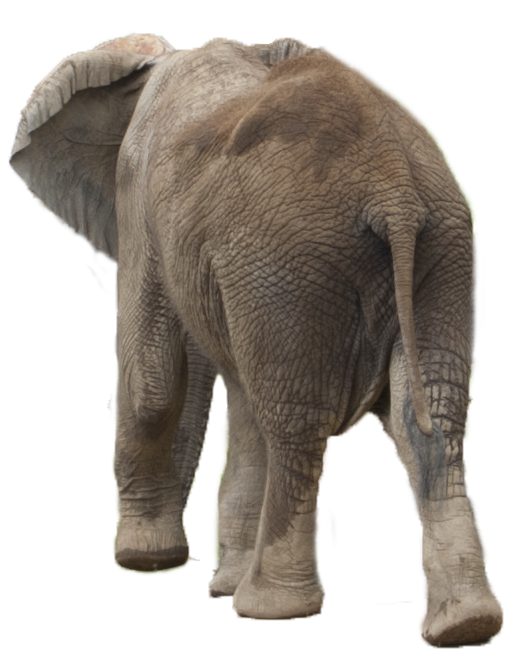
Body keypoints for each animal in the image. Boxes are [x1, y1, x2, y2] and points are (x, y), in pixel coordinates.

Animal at [11, 38, 501, 644]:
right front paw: (219, 579)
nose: (163, 560)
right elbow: (239, 391)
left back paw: (268, 604)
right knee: (430, 412)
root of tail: (393, 189)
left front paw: (147, 559)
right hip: (437, 248)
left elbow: (152, 379)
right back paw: (465, 622)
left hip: (290, 262)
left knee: (295, 421)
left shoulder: (139, 190)